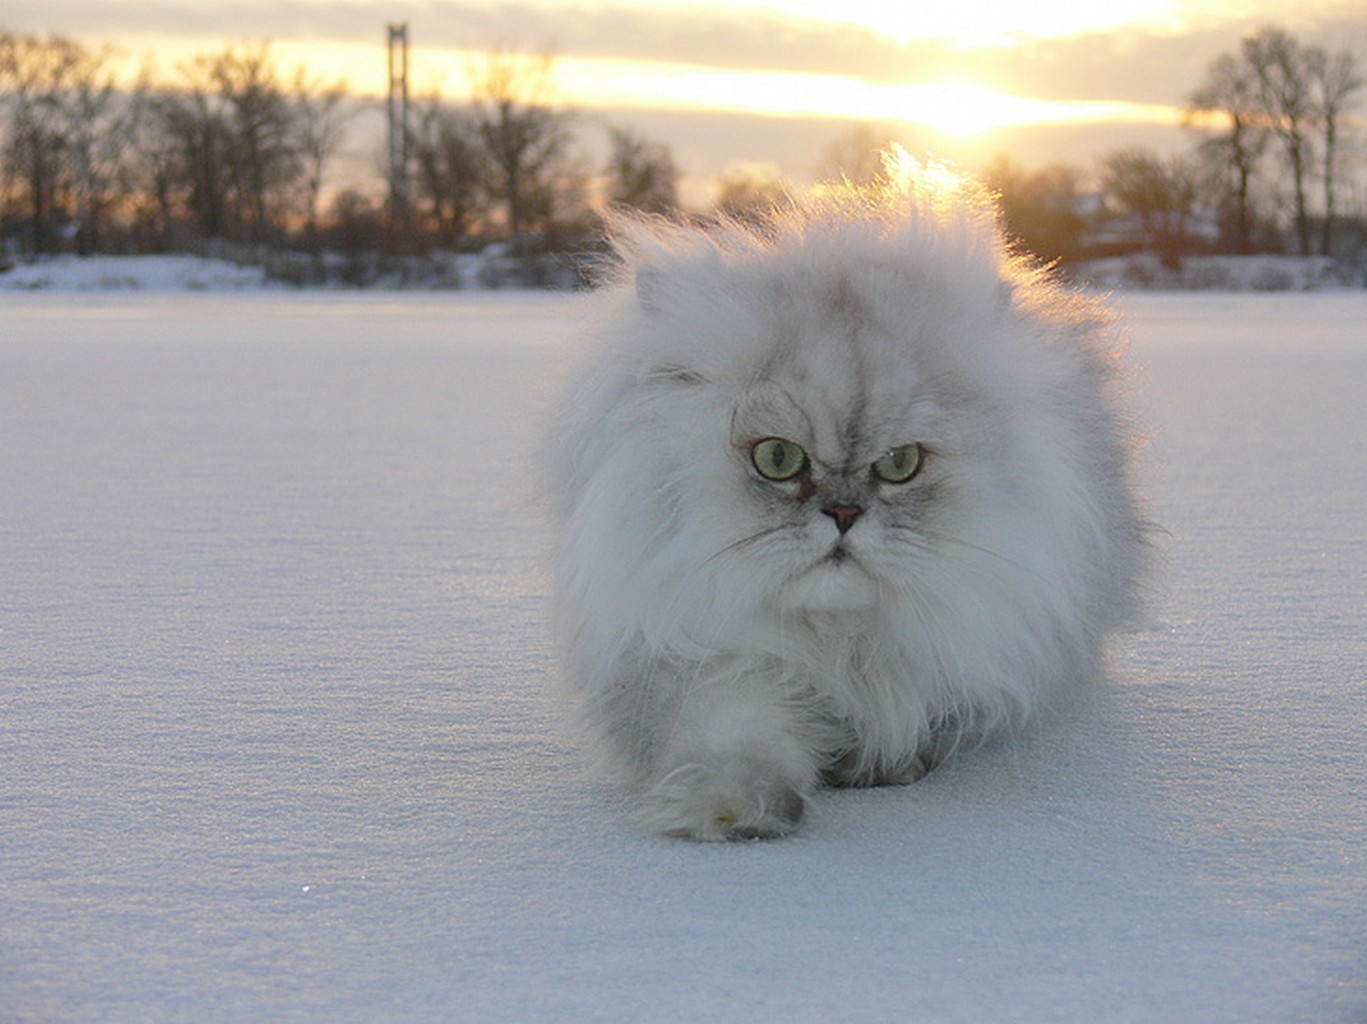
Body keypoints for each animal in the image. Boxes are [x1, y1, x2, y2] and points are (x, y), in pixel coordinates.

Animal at [549, 153, 1148, 836]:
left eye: (900, 464)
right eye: (778, 459)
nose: (843, 513)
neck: (839, 643)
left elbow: (913, 714)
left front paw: (877, 764)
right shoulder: (699, 658)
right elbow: (735, 732)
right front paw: (731, 812)